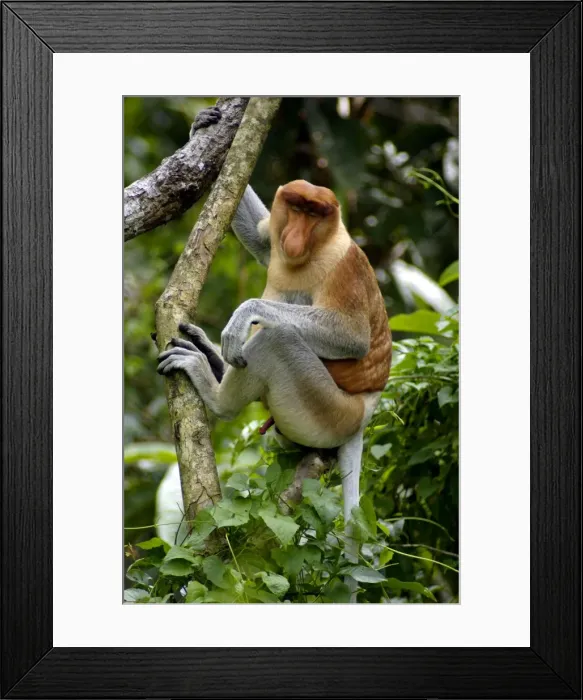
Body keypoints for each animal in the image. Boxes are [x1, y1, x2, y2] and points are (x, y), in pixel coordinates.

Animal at [157, 174, 392, 593]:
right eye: (296, 208)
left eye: (314, 214)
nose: (295, 236)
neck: (313, 251)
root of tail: (365, 412)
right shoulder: (276, 240)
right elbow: (259, 237)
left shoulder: (341, 265)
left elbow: (351, 337)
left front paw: (246, 313)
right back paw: (212, 358)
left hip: (325, 408)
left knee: (278, 339)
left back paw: (213, 387)